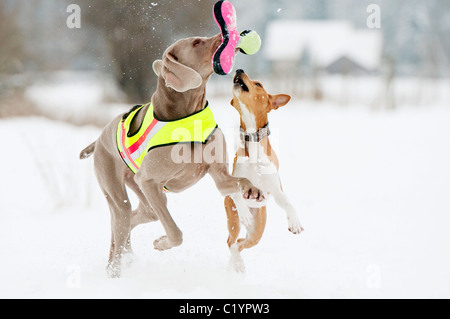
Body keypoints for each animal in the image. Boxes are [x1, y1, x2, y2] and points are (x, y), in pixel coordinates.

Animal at [80, 33, 264, 278]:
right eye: (196, 43)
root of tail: (99, 138)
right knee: (123, 219)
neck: (189, 116)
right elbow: (176, 233)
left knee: (136, 218)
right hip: (118, 185)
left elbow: (239, 181)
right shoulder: (148, 180)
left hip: (141, 191)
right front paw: (161, 243)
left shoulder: (220, 176)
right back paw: (115, 272)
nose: (225, 35)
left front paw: (253, 190)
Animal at [224, 69, 304, 272]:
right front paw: (244, 209)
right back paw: (237, 263)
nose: (239, 70)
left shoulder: (275, 190)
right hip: (233, 218)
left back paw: (236, 262)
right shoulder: (233, 181)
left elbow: (288, 202)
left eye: (258, 84)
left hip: (257, 232)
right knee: (231, 241)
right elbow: (237, 194)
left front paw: (294, 222)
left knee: (240, 243)